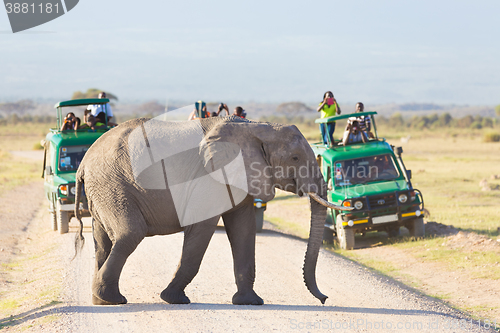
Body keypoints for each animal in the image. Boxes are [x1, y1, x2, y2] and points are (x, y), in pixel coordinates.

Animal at [74, 115, 350, 304]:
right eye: (294, 158)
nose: (324, 298)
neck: (257, 127)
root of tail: (83, 163)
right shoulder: (208, 178)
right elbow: (202, 230)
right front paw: (173, 299)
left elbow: (243, 229)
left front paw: (250, 302)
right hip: (113, 184)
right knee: (130, 233)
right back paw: (112, 299)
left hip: (104, 191)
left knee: (103, 242)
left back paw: (100, 300)